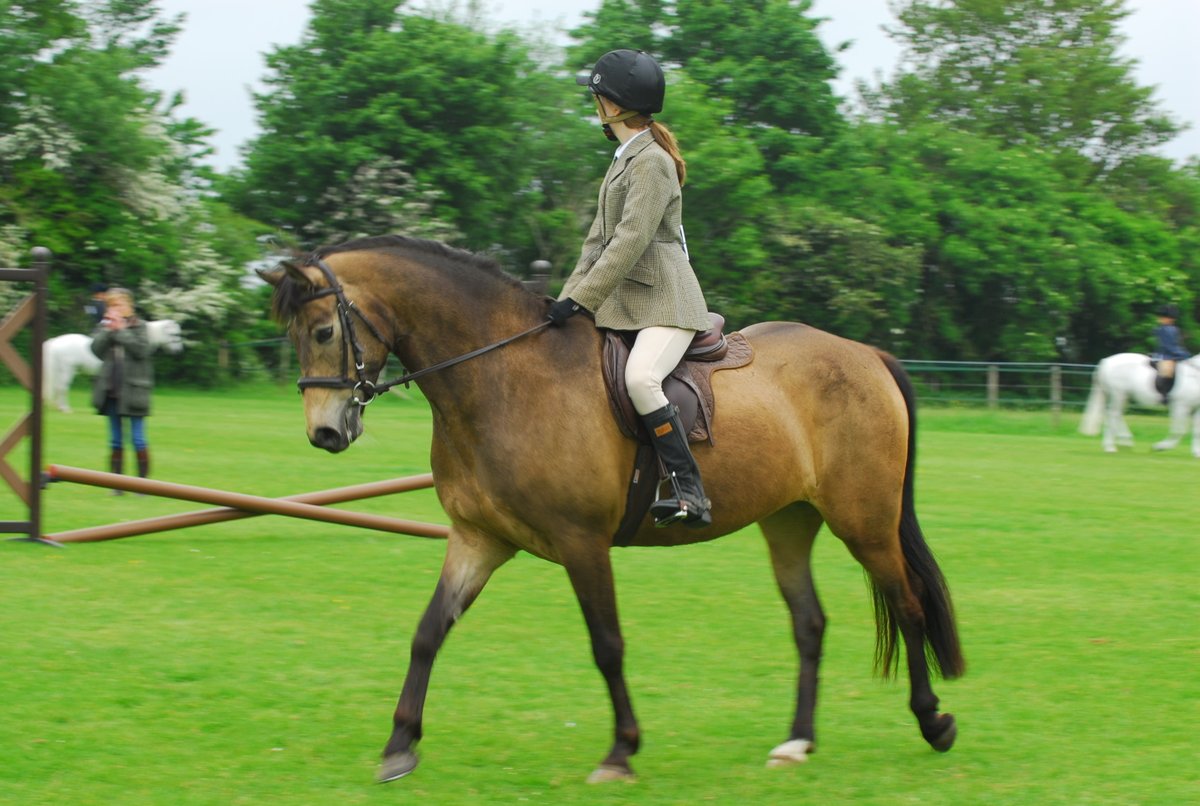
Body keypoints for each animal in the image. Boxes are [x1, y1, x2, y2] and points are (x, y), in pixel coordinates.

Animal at [42, 319, 184, 412]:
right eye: (174, 334)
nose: (178, 351)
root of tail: (55, 341)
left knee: (59, 388)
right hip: (67, 371)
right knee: (62, 388)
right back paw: (65, 408)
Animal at [260, 235, 964, 784]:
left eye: (323, 331)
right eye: (293, 334)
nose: (325, 433)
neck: (501, 375)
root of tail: (867, 354)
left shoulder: (581, 543)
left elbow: (607, 645)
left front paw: (621, 752)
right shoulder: (478, 539)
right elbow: (429, 631)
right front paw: (400, 745)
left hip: (863, 521)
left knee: (906, 604)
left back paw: (933, 722)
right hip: (789, 520)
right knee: (809, 623)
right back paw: (796, 743)